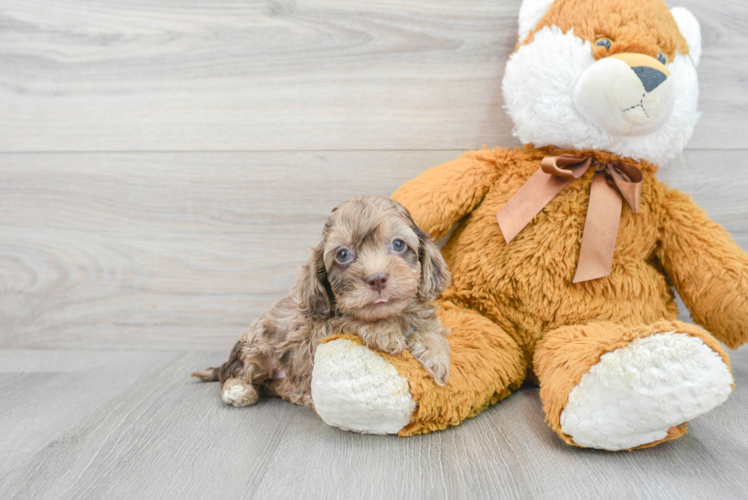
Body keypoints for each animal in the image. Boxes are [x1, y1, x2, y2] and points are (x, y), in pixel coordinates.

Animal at [191, 194, 450, 406]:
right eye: (343, 254)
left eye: (398, 244)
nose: (377, 279)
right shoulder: (319, 330)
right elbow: (351, 320)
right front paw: (385, 330)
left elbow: (430, 330)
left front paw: (436, 355)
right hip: (254, 348)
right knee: (233, 373)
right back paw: (237, 390)